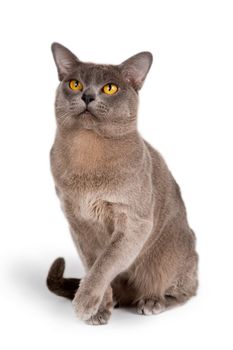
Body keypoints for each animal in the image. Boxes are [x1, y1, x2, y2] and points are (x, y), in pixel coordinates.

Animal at [46, 43, 198, 326]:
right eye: (74, 83)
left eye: (110, 88)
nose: (87, 95)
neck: (88, 154)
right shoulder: (78, 223)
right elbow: (94, 264)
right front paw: (98, 310)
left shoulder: (133, 222)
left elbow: (106, 263)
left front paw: (84, 303)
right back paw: (116, 300)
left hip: (168, 255)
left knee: (185, 290)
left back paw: (151, 301)